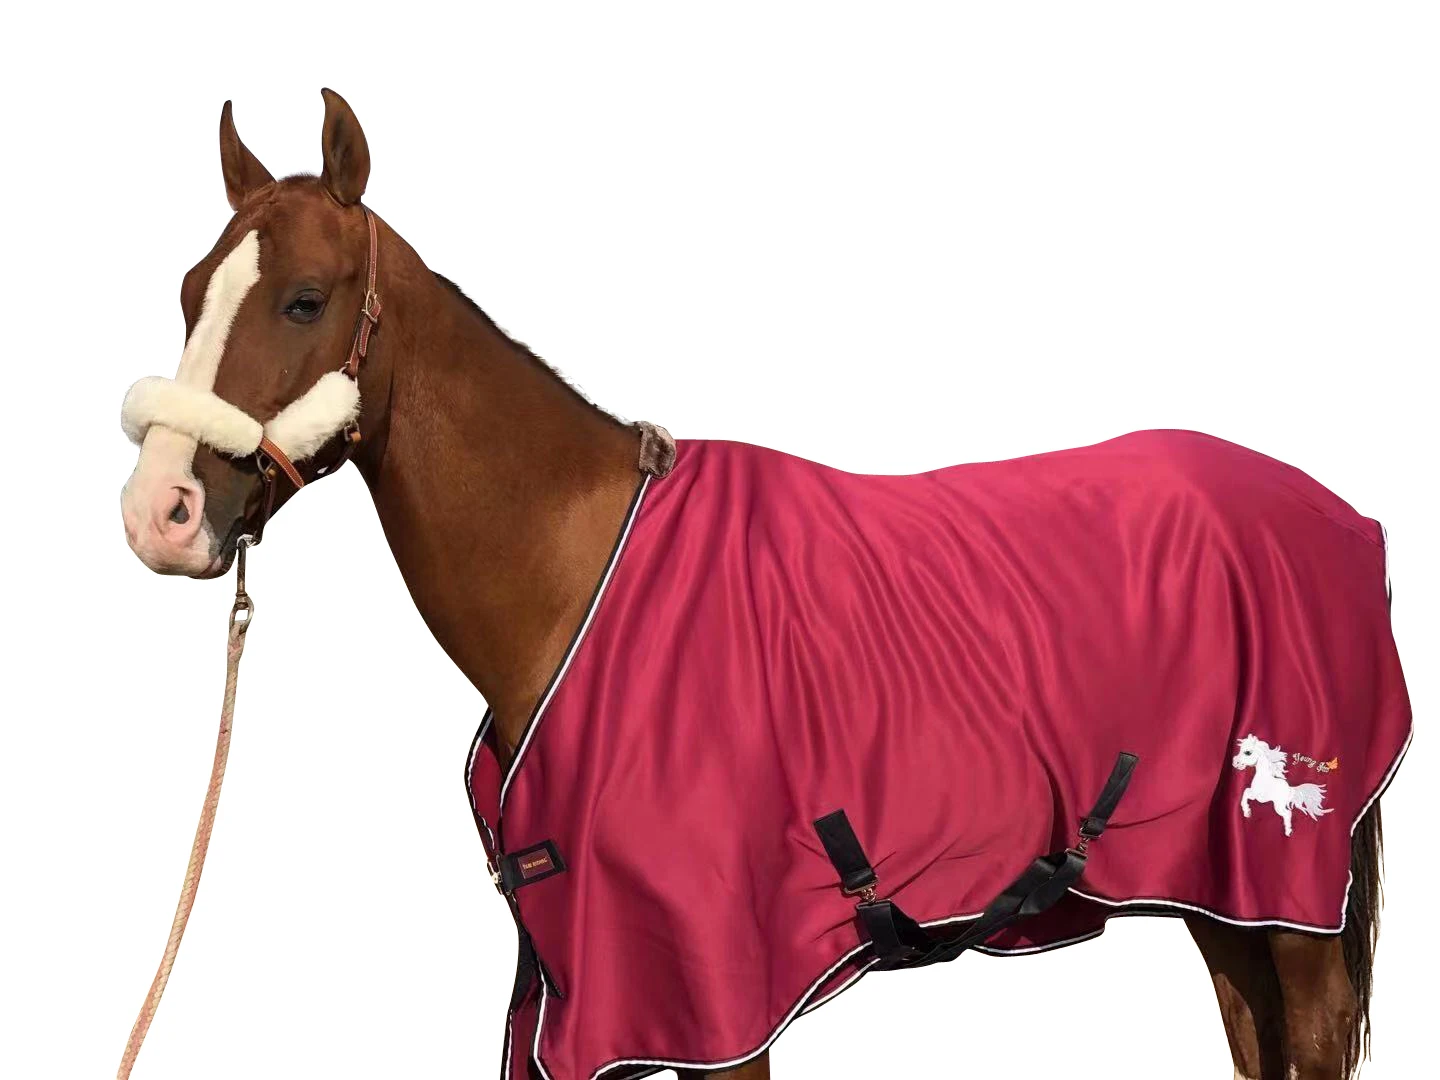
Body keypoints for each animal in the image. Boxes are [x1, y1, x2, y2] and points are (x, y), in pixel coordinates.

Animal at [118, 90, 1408, 1080]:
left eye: (304, 297)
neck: (575, 582)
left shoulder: (708, 994)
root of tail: (1342, 517)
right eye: (187, 292)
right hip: (1223, 902)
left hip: (1291, 899)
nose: (159, 512)